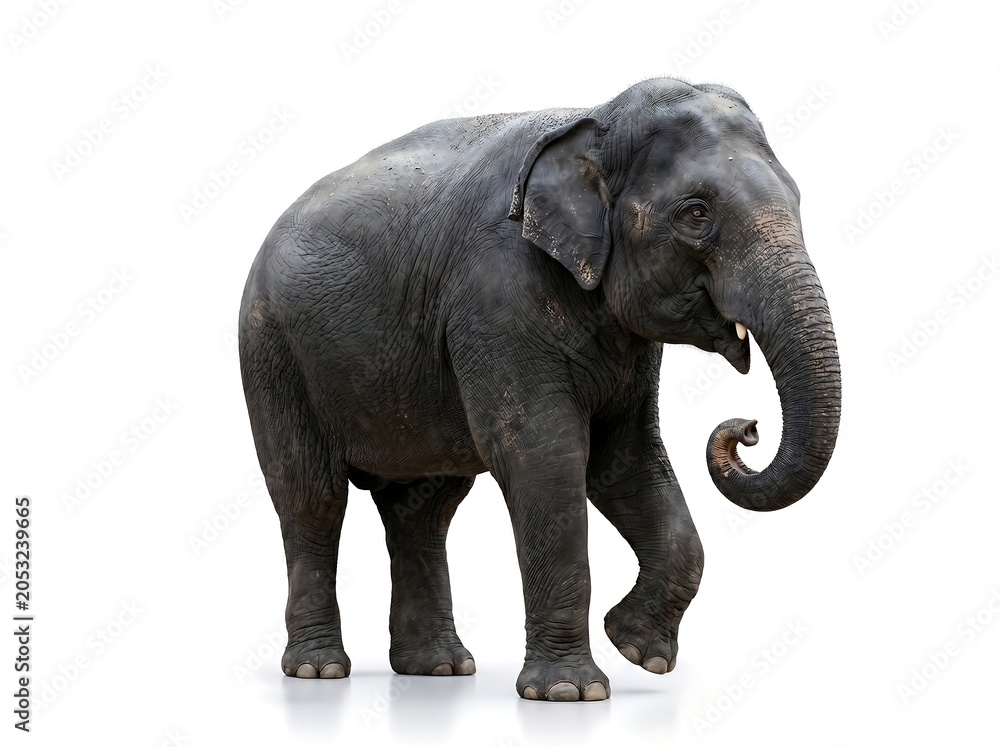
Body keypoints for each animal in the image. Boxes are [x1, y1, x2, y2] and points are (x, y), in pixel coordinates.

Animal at [238, 77, 841, 702]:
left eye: (798, 200)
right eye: (696, 214)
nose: (747, 428)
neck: (594, 118)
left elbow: (624, 461)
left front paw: (637, 650)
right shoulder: (496, 296)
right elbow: (545, 458)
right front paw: (571, 693)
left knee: (424, 508)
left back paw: (438, 668)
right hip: (272, 351)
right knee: (311, 496)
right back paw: (319, 671)